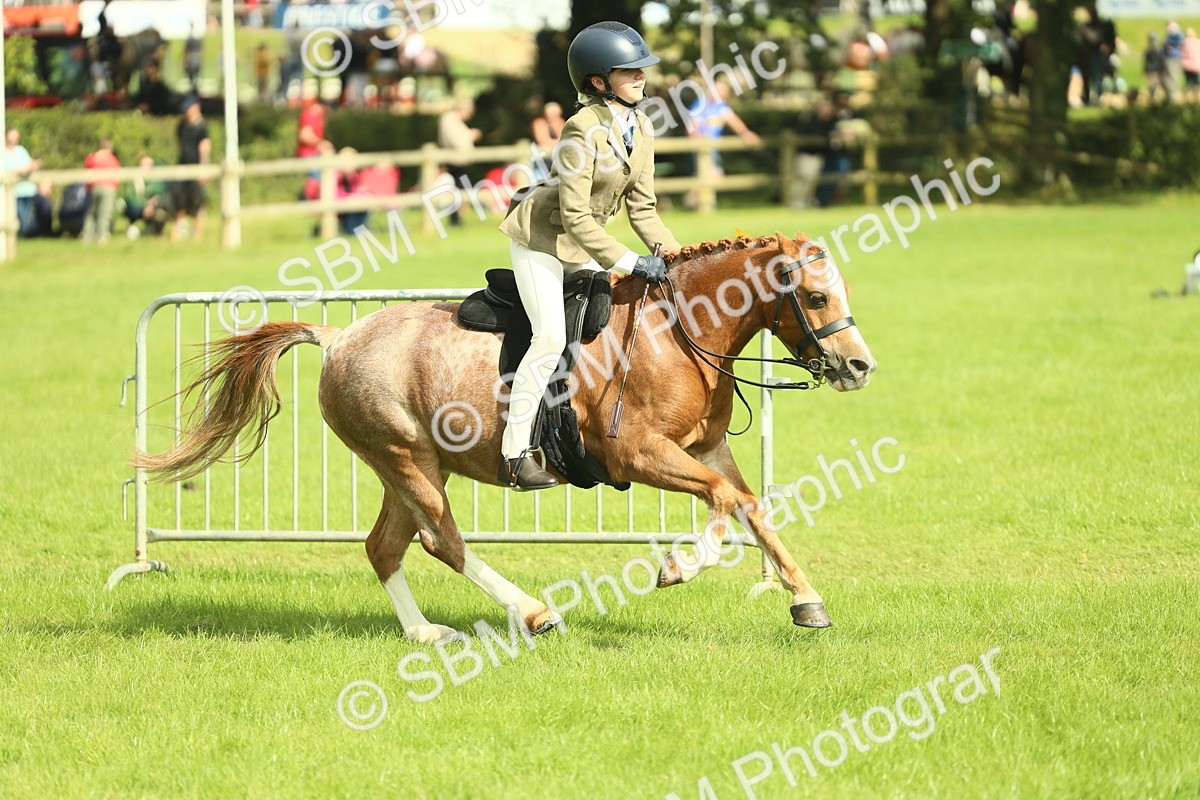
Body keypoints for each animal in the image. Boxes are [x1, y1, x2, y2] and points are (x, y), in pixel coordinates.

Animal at [133, 232, 876, 642]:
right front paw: (679, 567)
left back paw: (424, 633)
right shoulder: (641, 454)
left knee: (385, 546)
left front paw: (806, 602)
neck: (679, 330)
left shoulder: (702, 448)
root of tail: (339, 335)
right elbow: (726, 500)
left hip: (407, 466)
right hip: (408, 460)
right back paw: (534, 612)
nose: (859, 366)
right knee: (442, 541)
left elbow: (750, 507)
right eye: (815, 298)